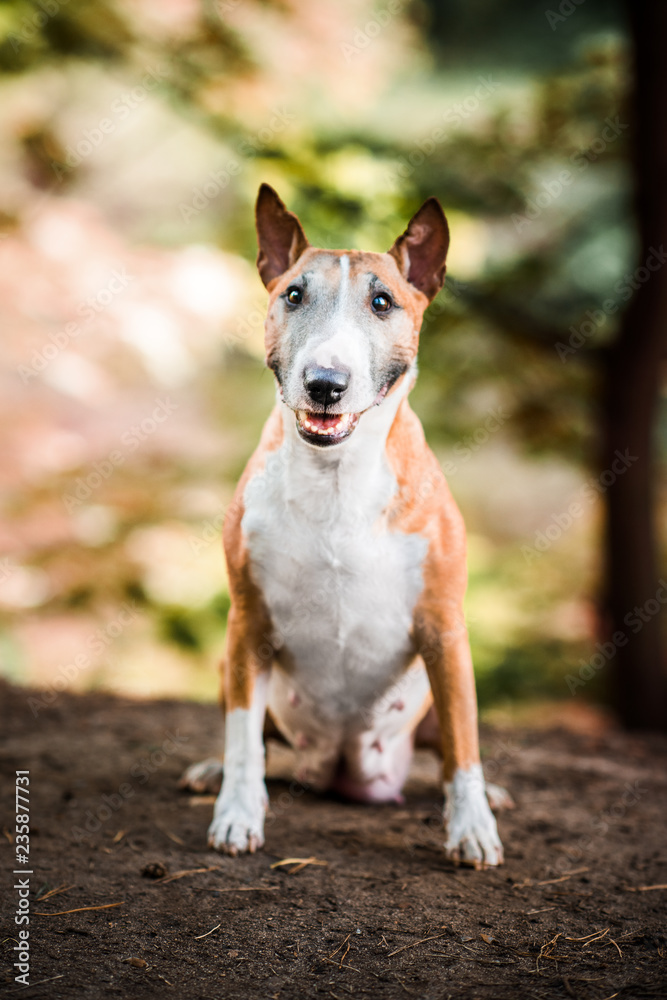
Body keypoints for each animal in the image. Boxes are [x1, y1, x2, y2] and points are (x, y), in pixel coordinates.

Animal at [183, 186, 506, 868]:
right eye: (292, 295)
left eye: (382, 301)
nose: (324, 384)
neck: (335, 476)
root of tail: (340, 772)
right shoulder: (247, 623)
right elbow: (243, 740)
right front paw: (236, 814)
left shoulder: (444, 626)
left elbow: (464, 747)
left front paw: (472, 828)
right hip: (231, 665)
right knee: (253, 736)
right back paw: (210, 771)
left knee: (452, 743)